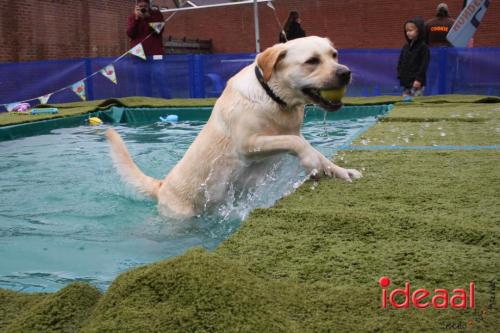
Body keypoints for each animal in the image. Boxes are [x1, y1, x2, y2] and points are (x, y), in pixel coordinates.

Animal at [107, 37, 362, 218]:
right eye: (312, 61)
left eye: (334, 55)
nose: (346, 72)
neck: (273, 97)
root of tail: (162, 185)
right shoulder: (248, 145)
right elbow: (298, 143)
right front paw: (311, 161)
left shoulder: (284, 134)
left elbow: (312, 149)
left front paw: (340, 171)